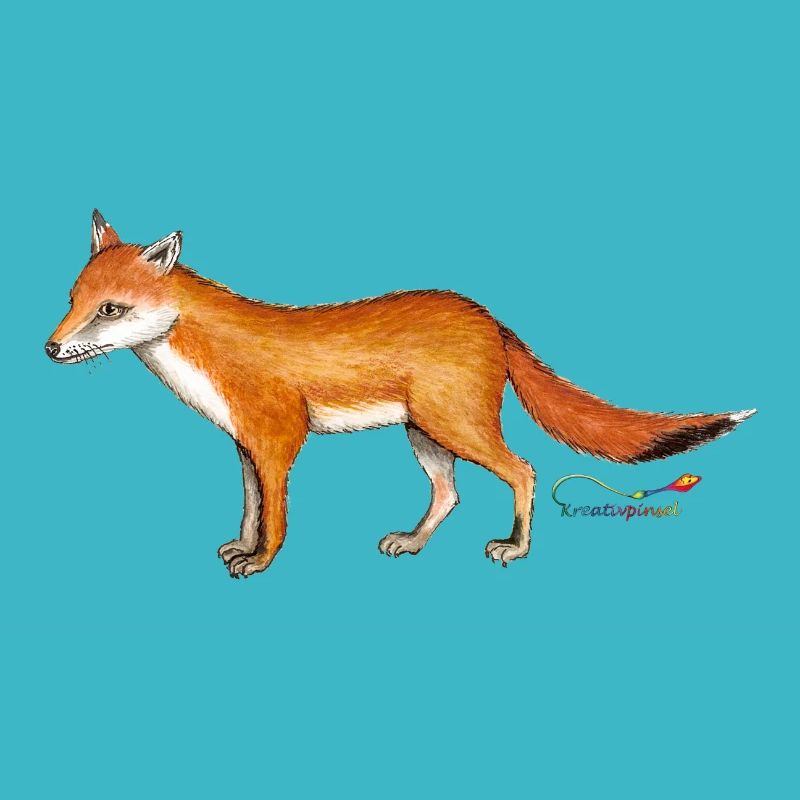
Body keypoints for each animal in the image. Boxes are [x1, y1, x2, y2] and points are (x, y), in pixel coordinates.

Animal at [46, 211, 755, 577]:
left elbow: (276, 520)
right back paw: (412, 544)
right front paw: (241, 548)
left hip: (456, 428)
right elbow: (249, 511)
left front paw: (261, 562)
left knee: (524, 470)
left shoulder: (278, 443)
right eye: (73, 300)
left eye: (111, 310)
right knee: (450, 494)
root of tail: (490, 319)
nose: (50, 349)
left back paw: (516, 548)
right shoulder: (245, 448)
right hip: (426, 436)